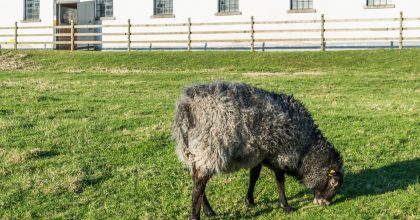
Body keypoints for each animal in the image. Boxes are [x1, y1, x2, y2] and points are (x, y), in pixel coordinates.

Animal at [172, 81, 342, 219]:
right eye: (334, 183)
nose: (325, 203)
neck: (306, 148)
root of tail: (186, 107)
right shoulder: (280, 154)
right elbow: (280, 180)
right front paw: (285, 205)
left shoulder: (259, 155)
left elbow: (254, 175)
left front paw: (249, 200)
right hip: (209, 150)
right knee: (199, 186)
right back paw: (196, 215)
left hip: (193, 153)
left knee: (198, 183)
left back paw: (208, 211)